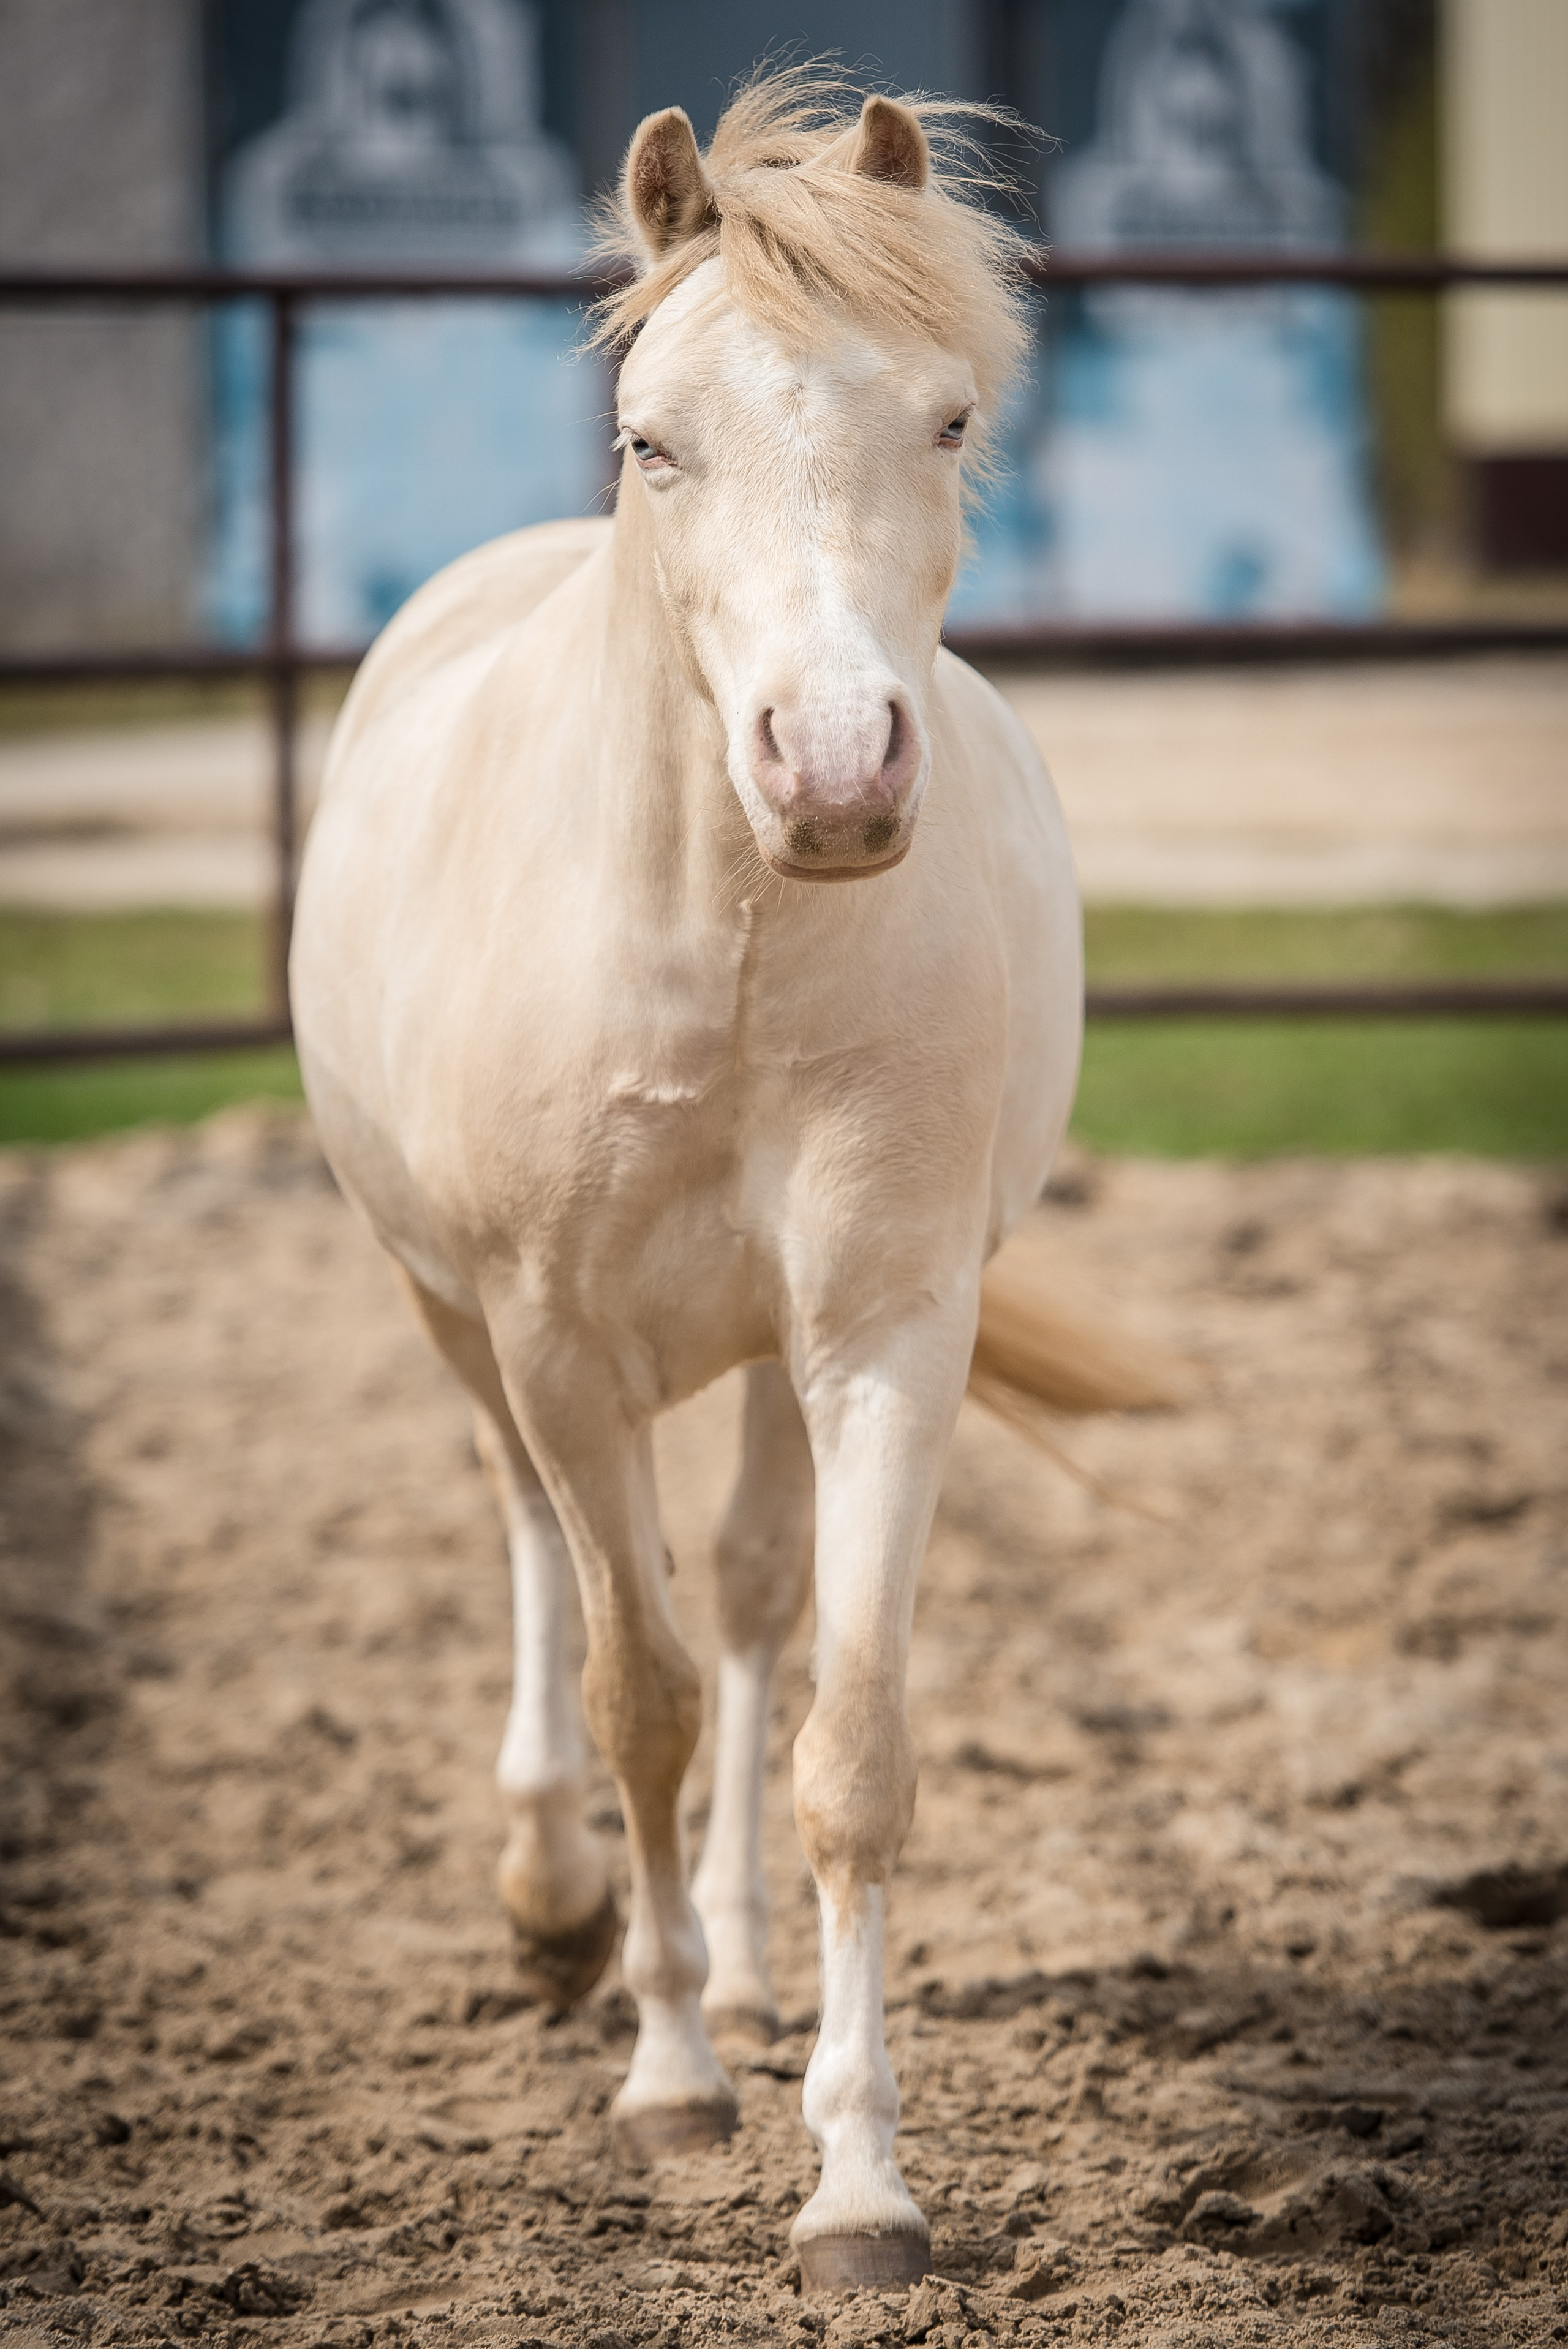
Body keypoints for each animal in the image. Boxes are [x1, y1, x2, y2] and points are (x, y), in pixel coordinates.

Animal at [291, 70, 1116, 2294]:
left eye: (947, 417)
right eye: (654, 441)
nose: (831, 770)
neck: (719, 942)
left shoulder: (885, 1333)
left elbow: (846, 1734)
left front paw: (855, 2176)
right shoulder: (556, 1345)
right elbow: (636, 1693)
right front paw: (664, 2074)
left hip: (758, 1351)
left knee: (751, 1598)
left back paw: (742, 1966)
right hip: (453, 1317)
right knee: (537, 1550)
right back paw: (559, 1894)